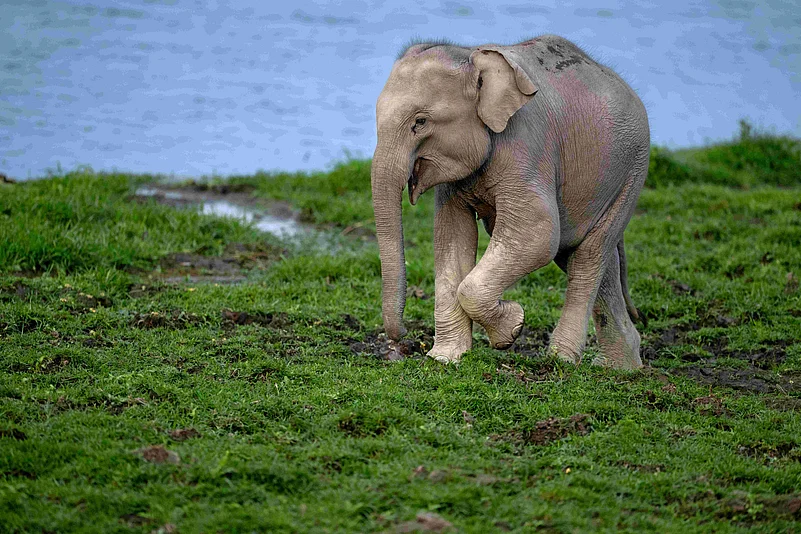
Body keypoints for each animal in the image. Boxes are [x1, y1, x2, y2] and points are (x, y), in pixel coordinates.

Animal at [371, 35, 649, 368]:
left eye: (420, 121)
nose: (402, 340)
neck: (471, 55)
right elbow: (452, 236)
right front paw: (446, 358)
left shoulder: (526, 146)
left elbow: (537, 234)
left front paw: (512, 329)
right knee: (587, 258)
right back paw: (622, 367)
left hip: (631, 173)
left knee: (588, 256)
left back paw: (562, 358)